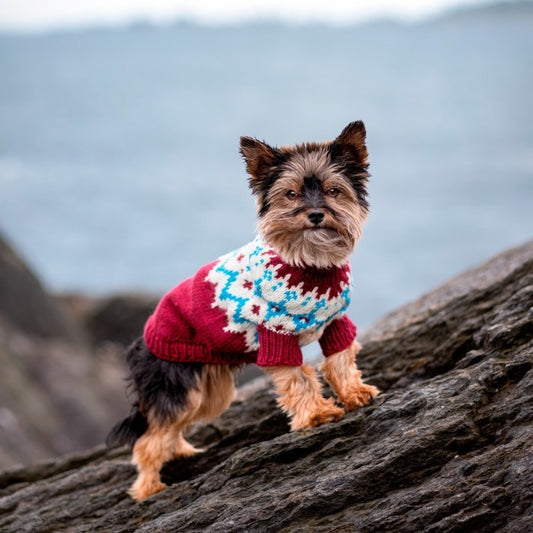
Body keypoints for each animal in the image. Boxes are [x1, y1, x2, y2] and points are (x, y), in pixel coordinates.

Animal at [107, 121, 378, 498]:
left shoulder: (336, 320)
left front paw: (354, 393)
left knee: (168, 427)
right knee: (149, 439)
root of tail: (142, 340)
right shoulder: (276, 335)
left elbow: (340, 360)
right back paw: (149, 488)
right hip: (176, 380)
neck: (309, 263)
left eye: (333, 190)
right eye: (290, 194)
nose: (315, 214)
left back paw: (178, 450)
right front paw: (316, 415)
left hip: (209, 390)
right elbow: (299, 379)